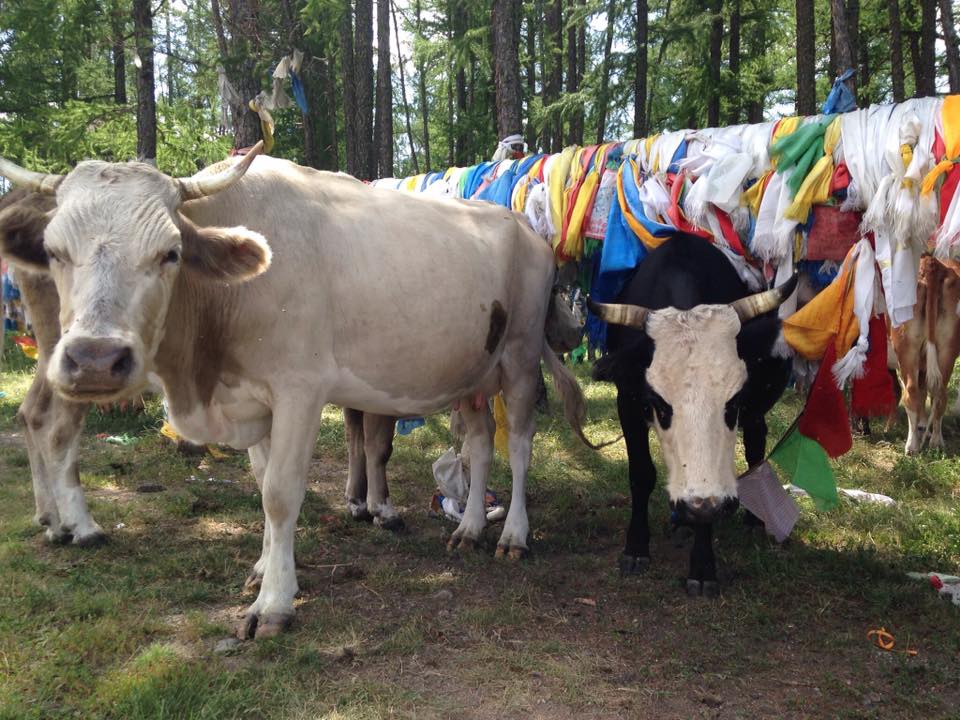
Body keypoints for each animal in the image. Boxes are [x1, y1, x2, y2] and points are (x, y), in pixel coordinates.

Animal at [0, 143, 592, 640]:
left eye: (170, 252)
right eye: (53, 252)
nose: (95, 359)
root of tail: (525, 228)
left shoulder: (299, 392)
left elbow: (280, 494)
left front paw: (273, 602)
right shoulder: (252, 400)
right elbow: (263, 484)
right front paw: (264, 567)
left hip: (519, 358)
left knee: (520, 445)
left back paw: (512, 535)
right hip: (472, 372)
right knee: (481, 443)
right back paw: (469, 528)